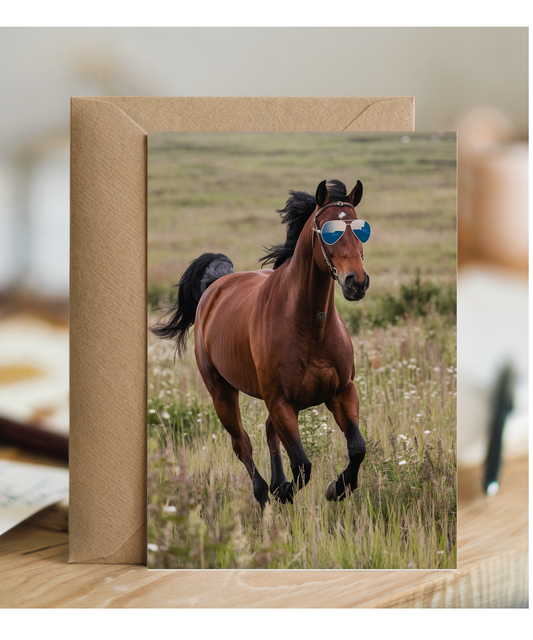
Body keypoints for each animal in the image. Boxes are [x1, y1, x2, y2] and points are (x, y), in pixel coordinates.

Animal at [151, 179, 371, 508]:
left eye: (361, 229)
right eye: (329, 231)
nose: (356, 282)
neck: (311, 327)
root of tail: (215, 286)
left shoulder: (342, 392)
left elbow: (357, 448)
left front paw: (337, 488)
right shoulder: (281, 402)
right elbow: (302, 465)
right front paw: (285, 491)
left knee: (269, 433)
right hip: (222, 393)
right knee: (242, 444)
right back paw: (264, 491)